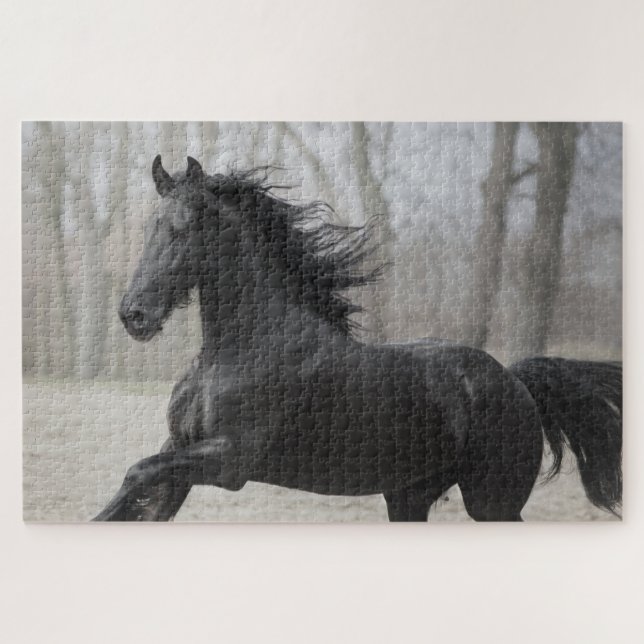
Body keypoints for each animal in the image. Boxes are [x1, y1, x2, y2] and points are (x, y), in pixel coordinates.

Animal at [94, 156, 622, 522]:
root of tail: (514, 381)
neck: (243, 352)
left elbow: (136, 473)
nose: (133, 314)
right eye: (151, 227)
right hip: (407, 497)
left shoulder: (229, 463)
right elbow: (134, 498)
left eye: (182, 228)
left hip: (493, 502)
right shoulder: (180, 450)